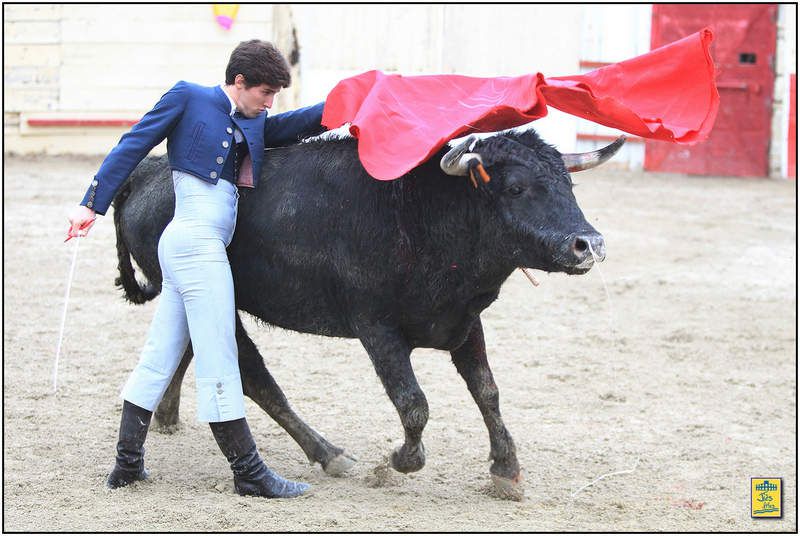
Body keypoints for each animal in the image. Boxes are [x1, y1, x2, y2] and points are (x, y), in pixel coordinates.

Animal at [111, 129, 624, 498]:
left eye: (569, 185)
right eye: (516, 188)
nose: (589, 244)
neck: (426, 216)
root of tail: (149, 171)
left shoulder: (463, 323)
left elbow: (488, 392)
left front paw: (506, 469)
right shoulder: (376, 327)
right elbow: (413, 403)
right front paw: (396, 462)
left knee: (184, 351)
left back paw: (167, 414)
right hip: (215, 298)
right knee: (253, 375)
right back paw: (328, 453)